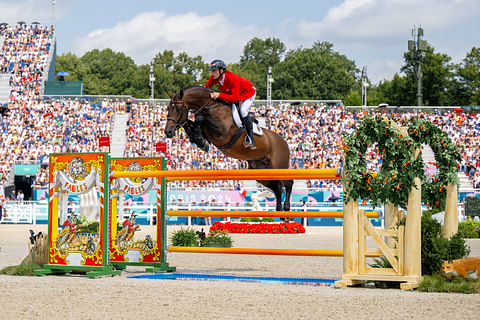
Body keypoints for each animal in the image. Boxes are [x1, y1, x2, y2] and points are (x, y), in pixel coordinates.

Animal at [164, 84, 292, 212]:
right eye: (168, 108)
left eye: (178, 109)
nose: (168, 132)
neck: (211, 107)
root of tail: (284, 142)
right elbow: (190, 122)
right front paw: (199, 140)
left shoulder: (222, 132)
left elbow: (200, 118)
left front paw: (199, 139)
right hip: (261, 170)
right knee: (277, 187)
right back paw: (279, 209)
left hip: (278, 166)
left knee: (288, 182)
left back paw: (286, 207)